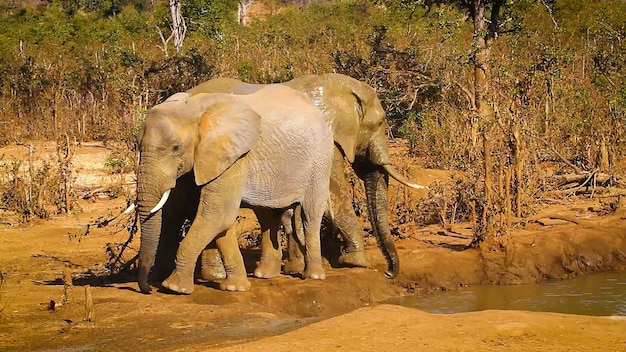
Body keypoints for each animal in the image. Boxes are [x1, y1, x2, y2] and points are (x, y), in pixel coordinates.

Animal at [135, 85, 334, 294]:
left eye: (176, 147)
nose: (147, 289)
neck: (195, 109)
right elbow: (217, 220)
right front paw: (234, 287)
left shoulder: (234, 158)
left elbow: (216, 215)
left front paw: (174, 288)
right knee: (267, 216)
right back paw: (264, 275)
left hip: (320, 161)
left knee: (310, 216)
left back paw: (313, 276)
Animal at [186, 73, 424, 280]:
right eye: (380, 123)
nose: (388, 273)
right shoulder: (325, 141)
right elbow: (334, 193)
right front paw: (357, 262)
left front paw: (295, 268)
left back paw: (214, 275)